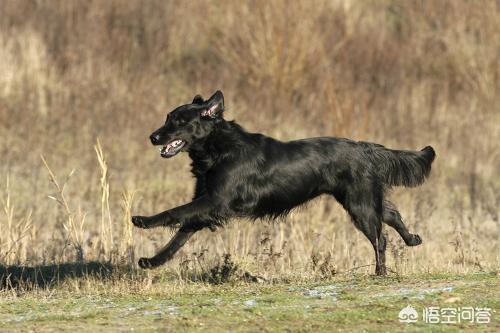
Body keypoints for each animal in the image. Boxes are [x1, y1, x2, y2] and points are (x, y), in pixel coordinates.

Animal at [133, 89, 434, 274]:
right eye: (167, 118)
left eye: (179, 121)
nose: (152, 137)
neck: (218, 148)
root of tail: (366, 147)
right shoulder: (206, 203)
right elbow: (179, 236)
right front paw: (152, 261)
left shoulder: (216, 200)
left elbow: (174, 212)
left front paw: (143, 220)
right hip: (363, 199)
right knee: (392, 215)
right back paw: (413, 239)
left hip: (359, 205)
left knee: (380, 238)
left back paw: (380, 272)